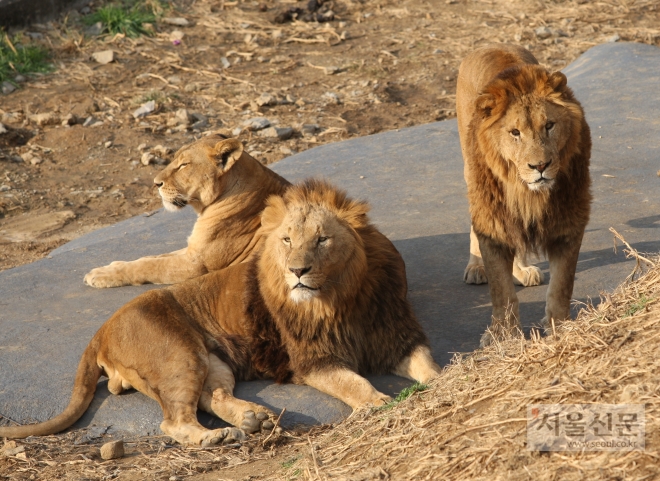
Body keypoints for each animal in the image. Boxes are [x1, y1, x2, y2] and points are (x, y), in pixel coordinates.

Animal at [3, 180, 444, 446]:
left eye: (322, 240)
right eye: (287, 240)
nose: (297, 271)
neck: (341, 298)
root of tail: (102, 330)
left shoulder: (397, 336)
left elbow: (428, 365)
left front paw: (444, 382)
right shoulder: (314, 360)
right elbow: (355, 384)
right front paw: (380, 403)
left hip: (213, 361)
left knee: (212, 395)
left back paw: (253, 419)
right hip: (178, 354)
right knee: (174, 419)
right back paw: (214, 437)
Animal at [83, 133, 288, 286]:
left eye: (183, 165)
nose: (156, 183)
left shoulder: (197, 264)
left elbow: (150, 266)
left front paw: (100, 275)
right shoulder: (192, 249)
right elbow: (151, 257)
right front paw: (110, 266)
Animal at [456, 44, 592, 344]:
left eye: (549, 125)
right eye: (515, 132)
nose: (540, 166)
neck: (528, 194)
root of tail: (489, 45)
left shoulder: (568, 222)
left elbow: (562, 284)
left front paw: (560, 327)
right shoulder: (493, 223)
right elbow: (501, 291)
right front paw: (503, 335)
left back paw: (522, 270)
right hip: (470, 173)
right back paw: (476, 267)